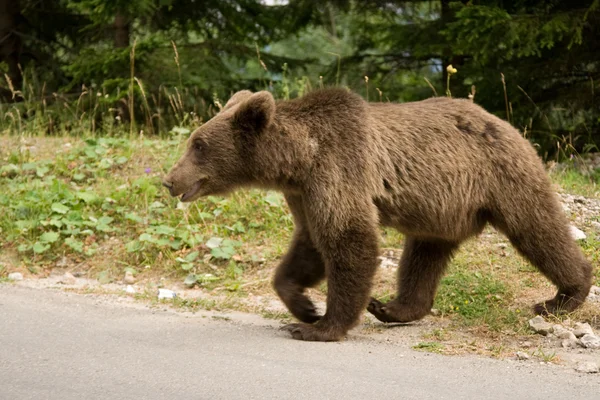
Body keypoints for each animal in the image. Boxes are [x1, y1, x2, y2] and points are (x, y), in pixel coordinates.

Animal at [162, 87, 592, 340]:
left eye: (198, 144)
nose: (168, 180)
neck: (299, 160)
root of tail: (505, 123)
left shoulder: (339, 167)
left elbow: (349, 238)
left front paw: (320, 326)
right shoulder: (304, 193)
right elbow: (309, 245)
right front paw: (303, 306)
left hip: (502, 176)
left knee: (537, 229)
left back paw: (563, 296)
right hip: (441, 207)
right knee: (424, 256)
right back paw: (392, 307)